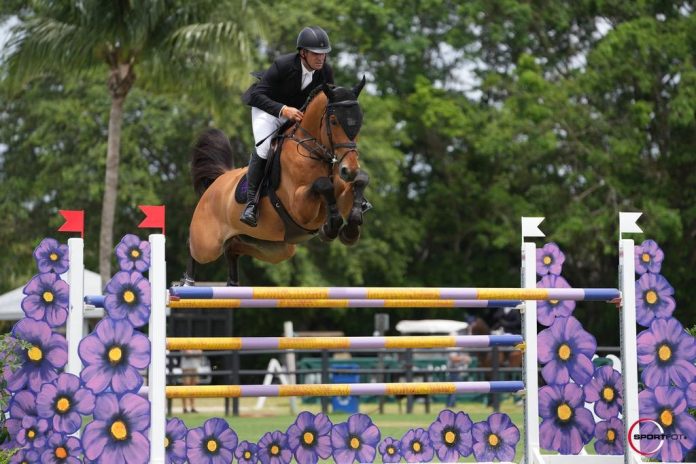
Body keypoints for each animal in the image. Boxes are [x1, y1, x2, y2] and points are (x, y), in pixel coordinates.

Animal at [184, 79, 370, 285]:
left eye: (359, 121)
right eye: (334, 121)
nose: (348, 170)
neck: (313, 152)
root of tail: (218, 181)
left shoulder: (342, 192)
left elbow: (361, 181)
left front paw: (350, 229)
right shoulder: (299, 207)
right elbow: (323, 185)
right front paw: (330, 228)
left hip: (274, 247)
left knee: (232, 248)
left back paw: (232, 281)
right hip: (207, 244)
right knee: (193, 247)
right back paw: (187, 281)